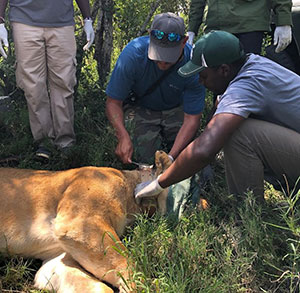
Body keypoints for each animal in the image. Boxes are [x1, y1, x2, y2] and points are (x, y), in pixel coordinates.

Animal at [0, 149, 171, 290]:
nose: (166, 223)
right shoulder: (80, 223)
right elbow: (127, 263)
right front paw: (144, 286)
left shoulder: (58, 259)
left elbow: (99, 287)